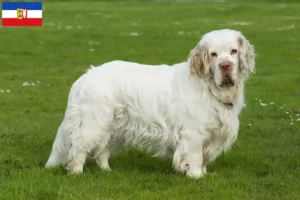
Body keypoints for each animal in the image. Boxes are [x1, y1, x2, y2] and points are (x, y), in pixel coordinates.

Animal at [45, 28, 255, 178]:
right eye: (213, 54)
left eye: (233, 51)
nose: (225, 66)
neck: (210, 88)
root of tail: (85, 76)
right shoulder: (194, 134)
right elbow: (195, 157)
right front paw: (196, 176)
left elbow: (203, 159)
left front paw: (203, 173)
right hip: (93, 124)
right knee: (78, 149)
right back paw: (76, 173)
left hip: (115, 127)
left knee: (102, 152)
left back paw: (107, 171)